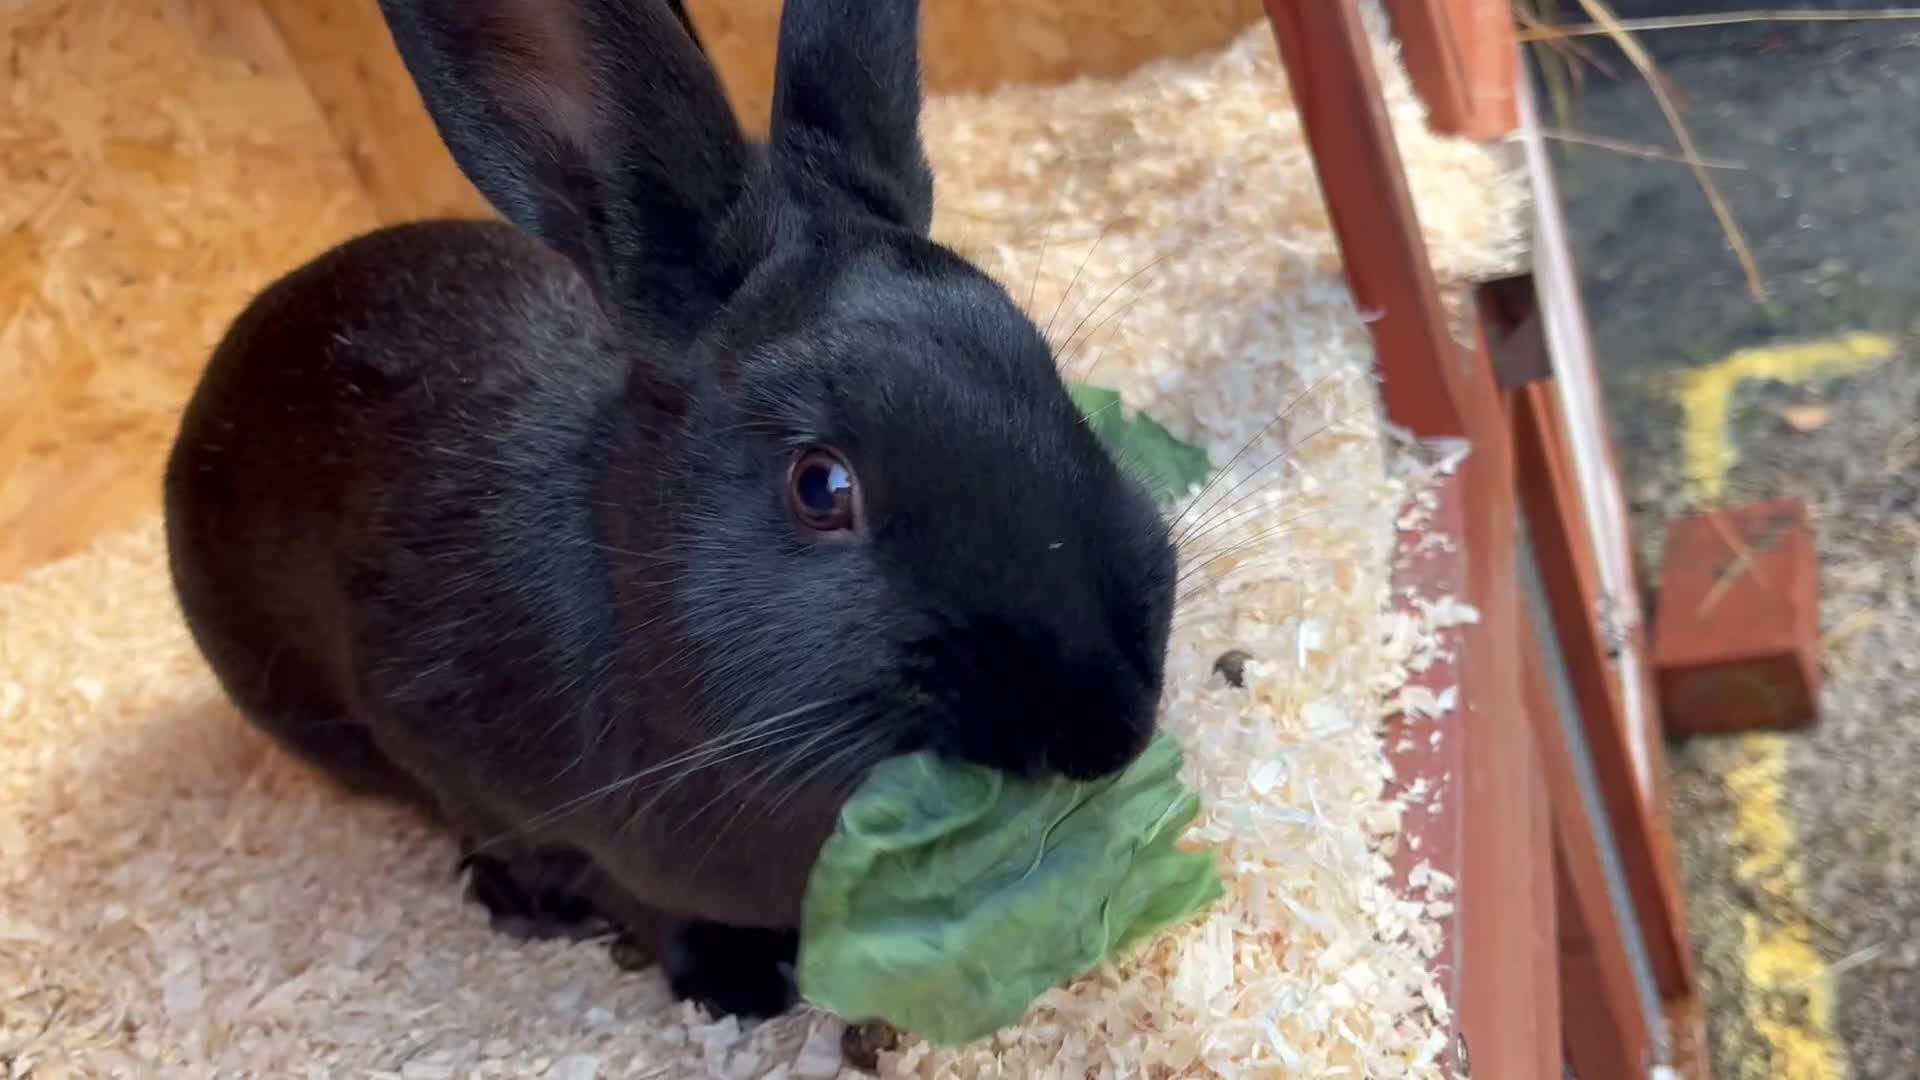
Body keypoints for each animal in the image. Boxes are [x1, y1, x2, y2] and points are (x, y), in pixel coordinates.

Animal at [162, 0, 1177, 1021]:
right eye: (821, 487)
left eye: (1042, 368)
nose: (1110, 726)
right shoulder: (486, 779)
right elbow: (634, 900)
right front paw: (737, 988)